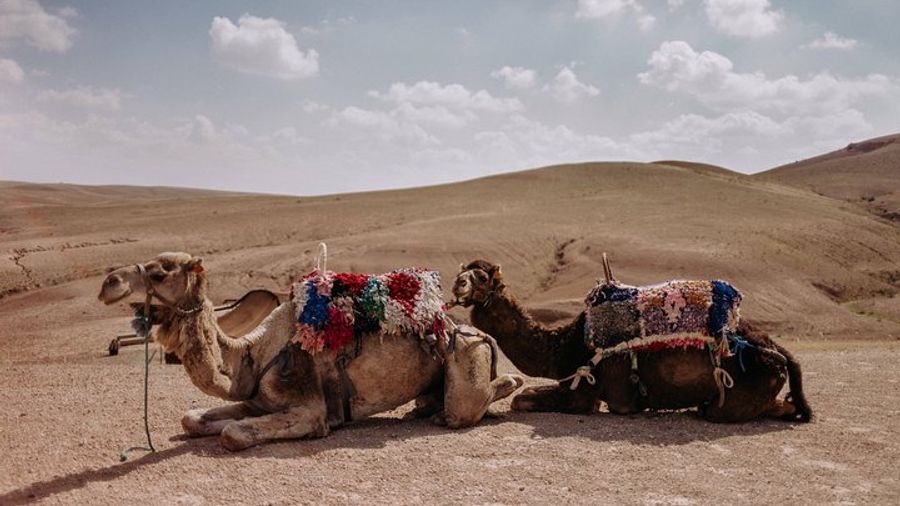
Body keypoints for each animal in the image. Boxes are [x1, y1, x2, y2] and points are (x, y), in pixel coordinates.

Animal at [98, 252, 523, 450]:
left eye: (159, 273)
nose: (108, 283)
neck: (252, 353)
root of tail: (466, 327)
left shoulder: (308, 406)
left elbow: (233, 434)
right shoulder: (258, 400)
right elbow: (191, 419)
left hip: (466, 351)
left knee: (467, 404)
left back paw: (503, 388)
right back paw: (425, 408)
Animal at [451, 259, 812, 423]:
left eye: (480, 277)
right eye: (463, 272)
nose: (457, 284)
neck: (564, 346)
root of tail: (779, 351)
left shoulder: (582, 391)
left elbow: (521, 400)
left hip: (734, 396)